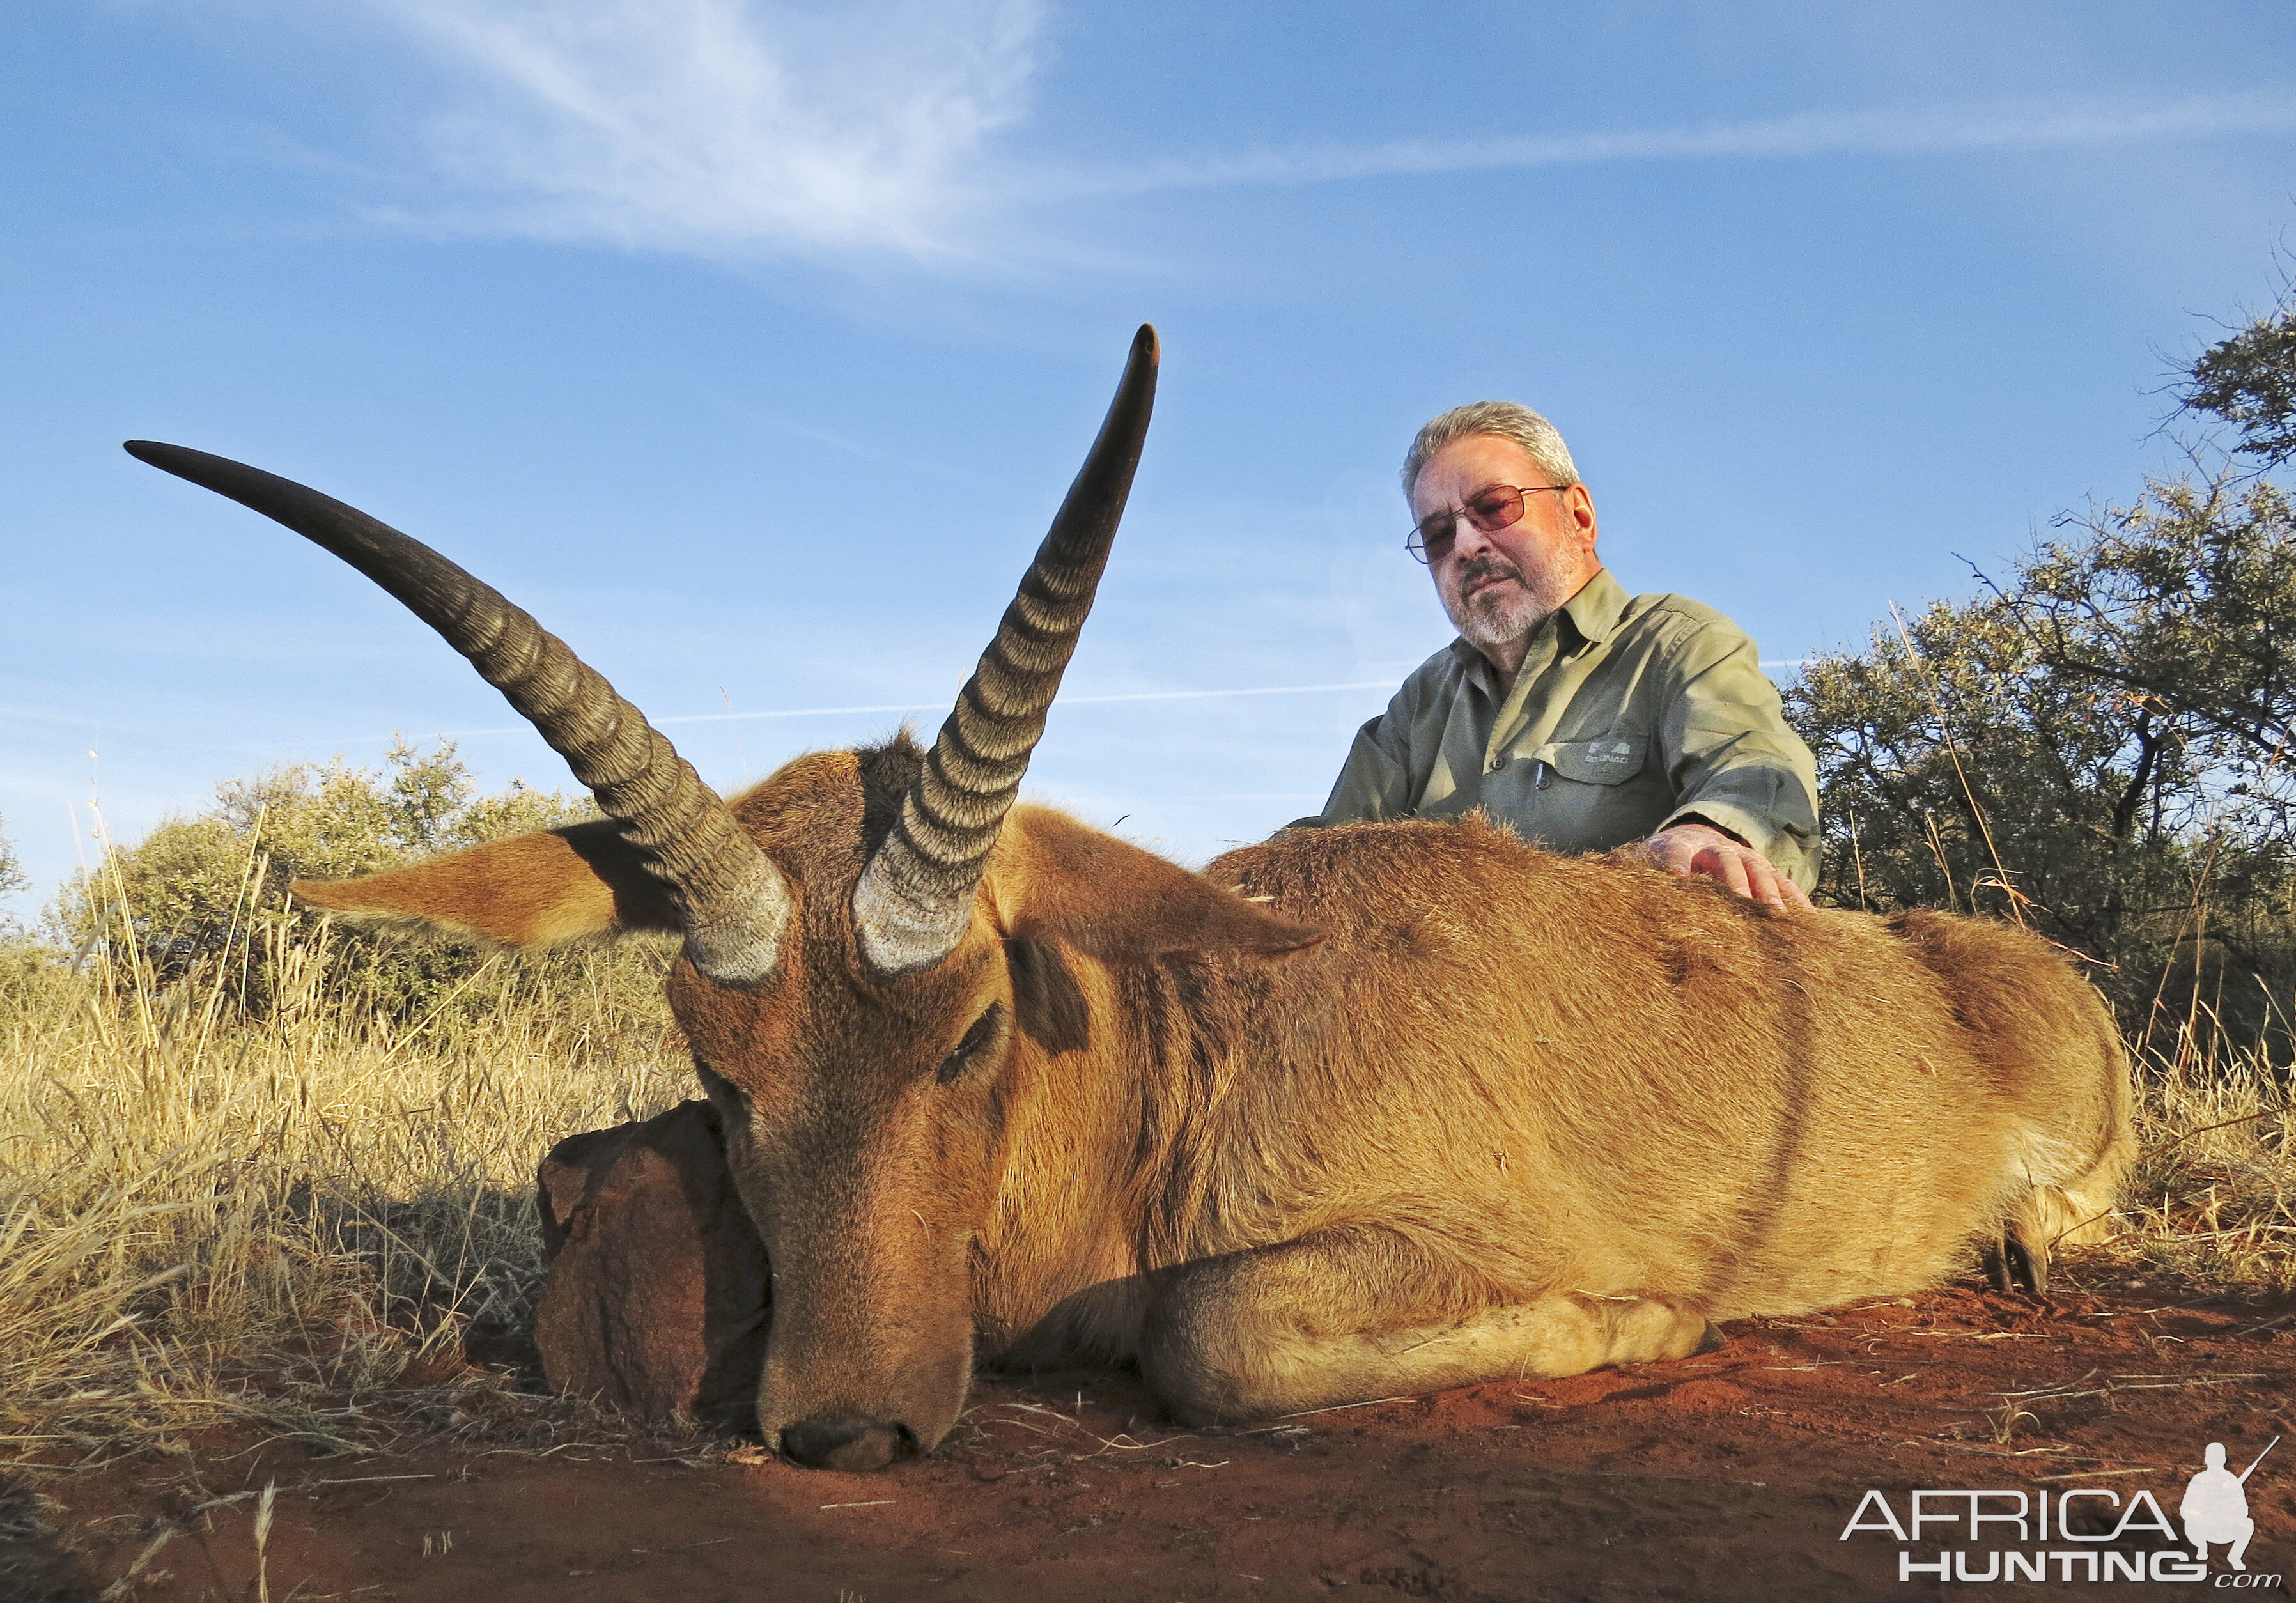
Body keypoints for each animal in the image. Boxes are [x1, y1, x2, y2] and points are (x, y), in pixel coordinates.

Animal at [125, 328, 2130, 1469]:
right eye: (712, 1063)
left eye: (970, 1032)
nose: (842, 1430)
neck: (1186, 1045)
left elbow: (1210, 1335)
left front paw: (1649, 1321)